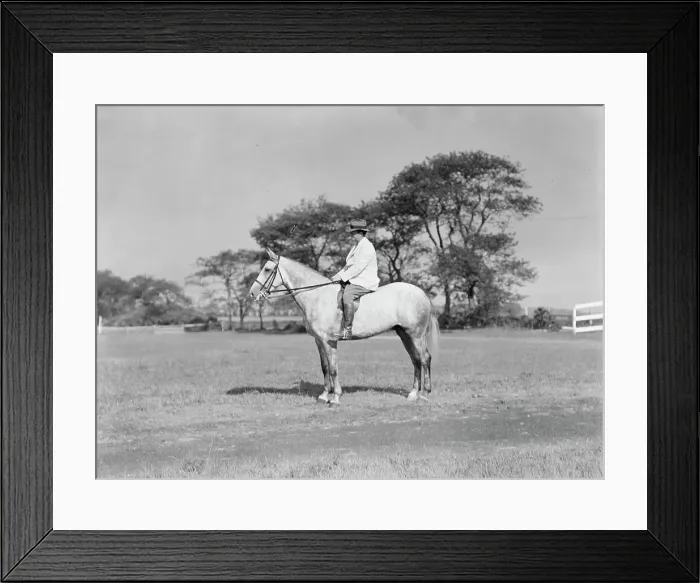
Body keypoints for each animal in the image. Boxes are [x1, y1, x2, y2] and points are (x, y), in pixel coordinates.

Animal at [248, 248, 440, 406]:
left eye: (267, 269)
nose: (252, 293)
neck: (317, 296)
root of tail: (421, 293)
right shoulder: (319, 341)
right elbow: (325, 368)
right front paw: (324, 396)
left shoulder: (328, 341)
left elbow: (333, 369)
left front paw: (335, 398)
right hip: (404, 334)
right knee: (415, 360)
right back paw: (413, 394)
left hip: (416, 334)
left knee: (425, 359)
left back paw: (424, 394)